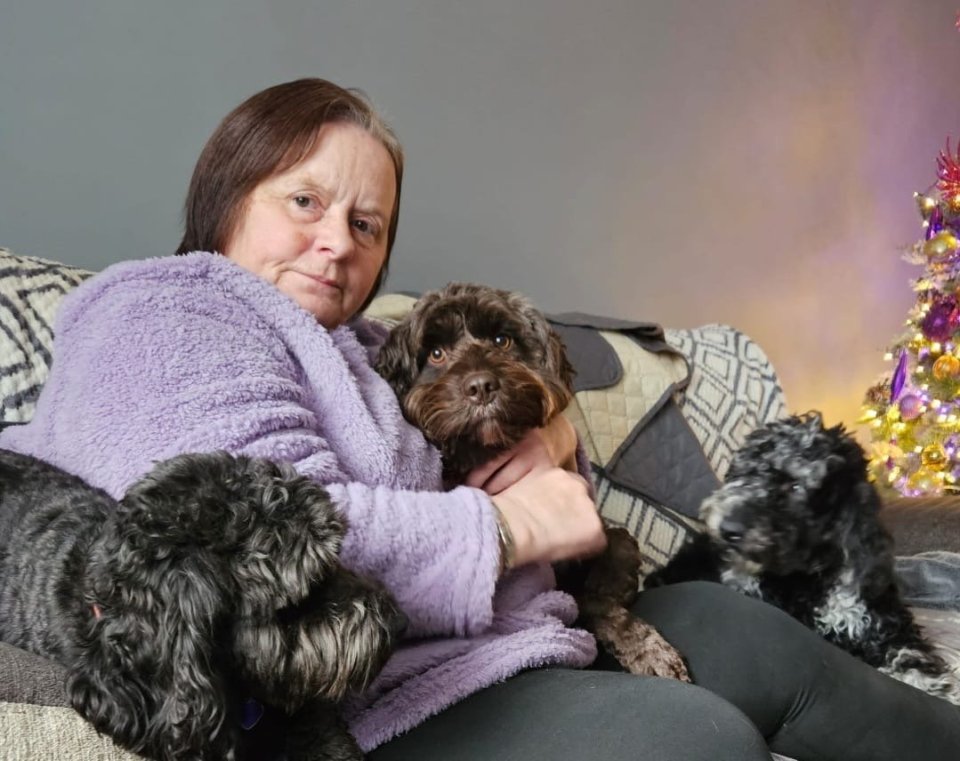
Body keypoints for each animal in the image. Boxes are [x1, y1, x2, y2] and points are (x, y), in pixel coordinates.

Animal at [376, 280, 688, 684]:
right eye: (436, 353)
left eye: (502, 340)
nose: (481, 386)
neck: (484, 450)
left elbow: (602, 601)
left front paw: (646, 648)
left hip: (617, 540)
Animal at [644, 412, 960, 704]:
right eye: (744, 472)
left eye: (797, 486)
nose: (728, 528)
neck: (818, 574)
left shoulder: (885, 621)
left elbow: (911, 655)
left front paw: (937, 688)